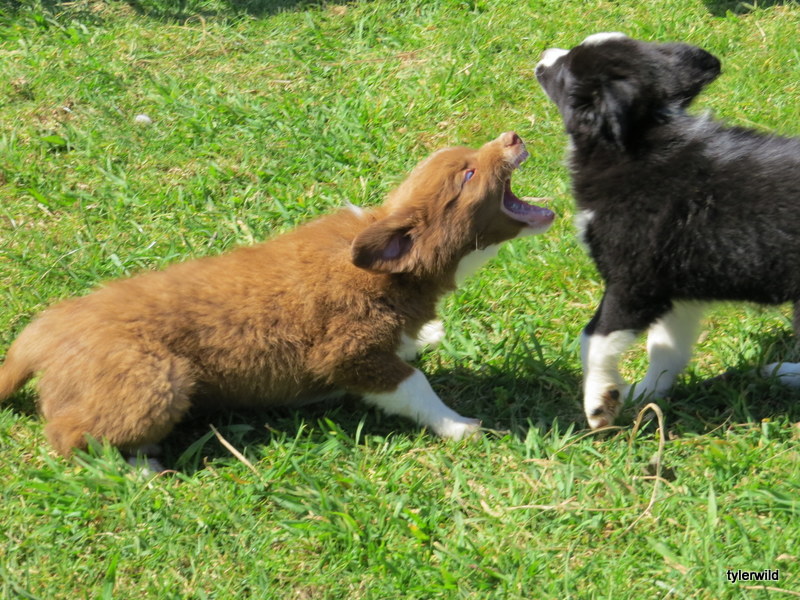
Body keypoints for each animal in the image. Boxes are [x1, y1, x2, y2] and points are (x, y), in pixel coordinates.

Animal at [0, 131, 554, 467]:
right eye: (467, 174)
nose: (511, 137)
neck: (397, 271)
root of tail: (38, 335)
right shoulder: (348, 351)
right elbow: (414, 385)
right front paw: (459, 426)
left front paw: (428, 335)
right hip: (157, 380)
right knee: (68, 435)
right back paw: (141, 469)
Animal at [535, 32, 800, 429]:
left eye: (566, 68)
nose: (542, 57)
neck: (636, 143)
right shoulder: (679, 288)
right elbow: (665, 349)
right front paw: (645, 395)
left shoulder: (634, 283)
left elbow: (594, 339)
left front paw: (599, 403)